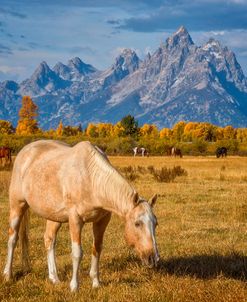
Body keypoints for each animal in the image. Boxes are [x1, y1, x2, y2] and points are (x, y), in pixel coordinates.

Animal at [3, 140, 160, 292]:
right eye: (137, 223)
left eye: (155, 224)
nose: (153, 258)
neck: (91, 179)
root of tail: (25, 151)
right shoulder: (75, 220)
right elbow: (77, 253)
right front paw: (74, 287)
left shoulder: (101, 221)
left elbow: (97, 248)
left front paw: (96, 283)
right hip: (17, 206)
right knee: (13, 238)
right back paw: (7, 275)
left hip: (53, 216)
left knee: (49, 240)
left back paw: (54, 278)